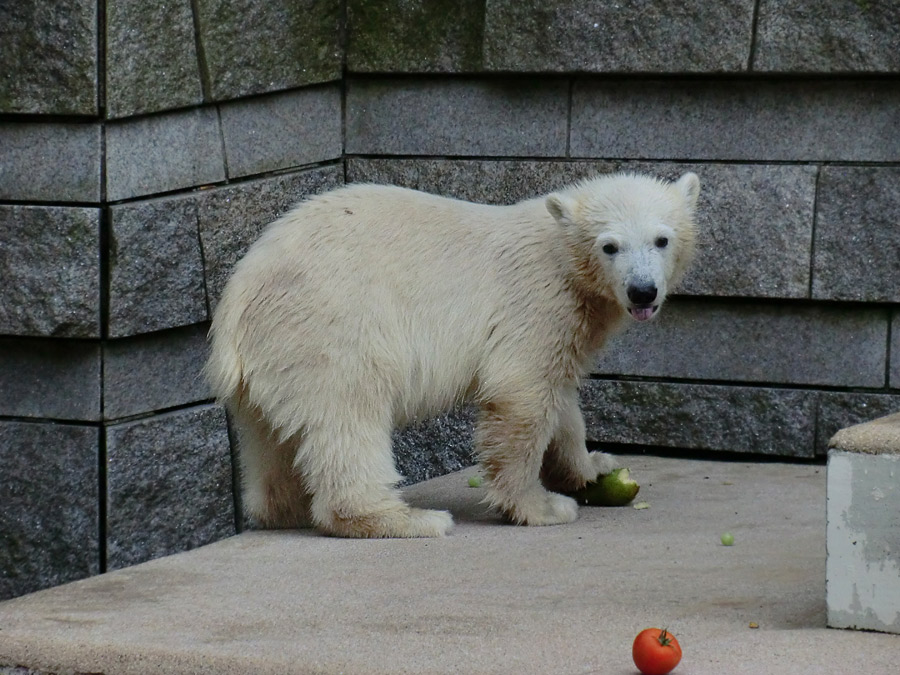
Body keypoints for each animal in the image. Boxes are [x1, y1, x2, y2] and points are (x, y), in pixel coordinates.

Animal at [207, 173, 700, 540]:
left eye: (662, 239)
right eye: (609, 245)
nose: (642, 291)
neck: (560, 253)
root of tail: (237, 299)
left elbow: (560, 399)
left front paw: (593, 466)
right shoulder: (536, 301)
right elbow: (521, 394)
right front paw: (540, 506)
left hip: (271, 360)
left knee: (270, 437)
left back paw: (285, 507)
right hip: (330, 325)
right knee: (350, 413)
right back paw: (407, 519)